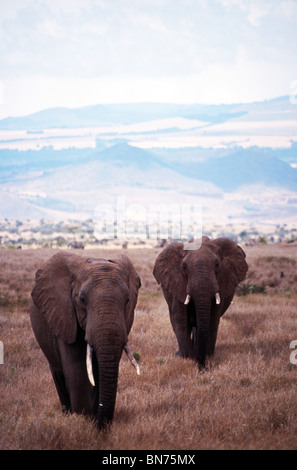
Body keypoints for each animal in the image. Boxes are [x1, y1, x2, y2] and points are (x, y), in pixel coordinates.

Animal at [29, 253, 140, 430]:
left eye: (128, 300)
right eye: (82, 300)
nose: (102, 428)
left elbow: (101, 371)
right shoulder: (64, 315)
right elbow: (77, 371)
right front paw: (82, 421)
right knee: (58, 373)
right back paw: (67, 413)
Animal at [153, 237, 247, 370]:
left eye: (217, 264)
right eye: (184, 266)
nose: (203, 368)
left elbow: (212, 320)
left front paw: (206, 356)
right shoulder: (178, 283)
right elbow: (180, 319)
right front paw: (187, 358)